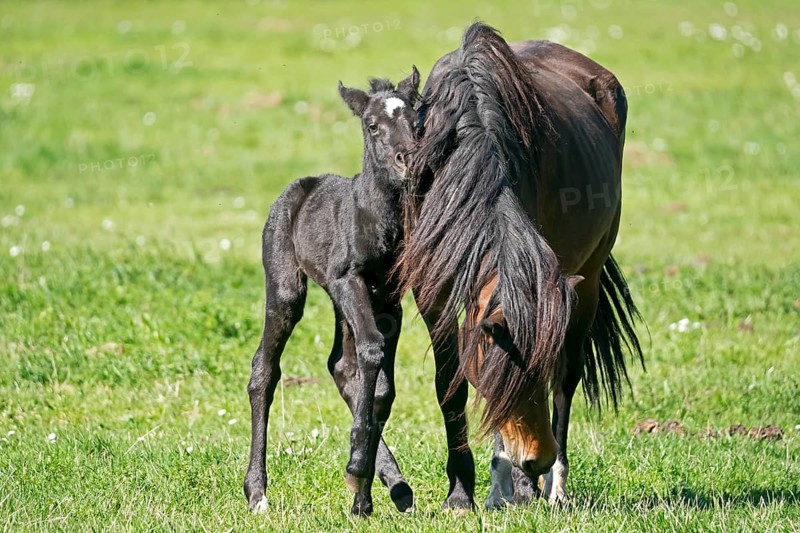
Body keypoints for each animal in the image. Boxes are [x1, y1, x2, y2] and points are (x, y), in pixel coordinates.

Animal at [244, 68, 421, 516]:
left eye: (416, 121)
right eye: (372, 126)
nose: (408, 160)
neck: (375, 216)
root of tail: (300, 186)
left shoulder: (390, 296)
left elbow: (381, 387)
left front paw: (362, 492)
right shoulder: (347, 279)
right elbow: (372, 350)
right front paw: (357, 471)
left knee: (341, 365)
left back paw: (393, 486)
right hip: (287, 286)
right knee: (264, 370)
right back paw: (257, 492)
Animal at [397, 23, 644, 509]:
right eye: (503, 376)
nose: (536, 460)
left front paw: (517, 485)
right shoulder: (432, 291)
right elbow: (449, 383)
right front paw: (463, 493)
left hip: (587, 281)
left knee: (568, 380)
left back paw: (553, 488)